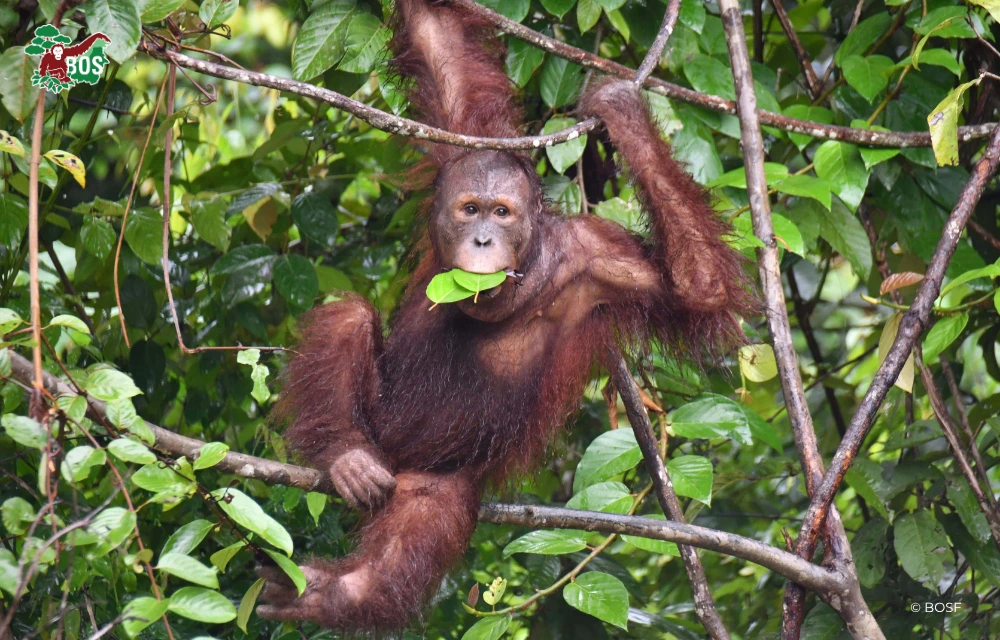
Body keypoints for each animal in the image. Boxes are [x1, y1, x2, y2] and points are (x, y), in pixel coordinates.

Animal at [256, 0, 752, 632]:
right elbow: (439, 42)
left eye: (503, 212)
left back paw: (330, 592)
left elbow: (699, 290)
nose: (483, 240)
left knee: (415, 534)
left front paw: (624, 114)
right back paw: (346, 456)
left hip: (437, 476)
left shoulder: (602, 259)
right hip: (379, 420)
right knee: (349, 314)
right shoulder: (458, 142)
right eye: (469, 210)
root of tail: (394, 456)